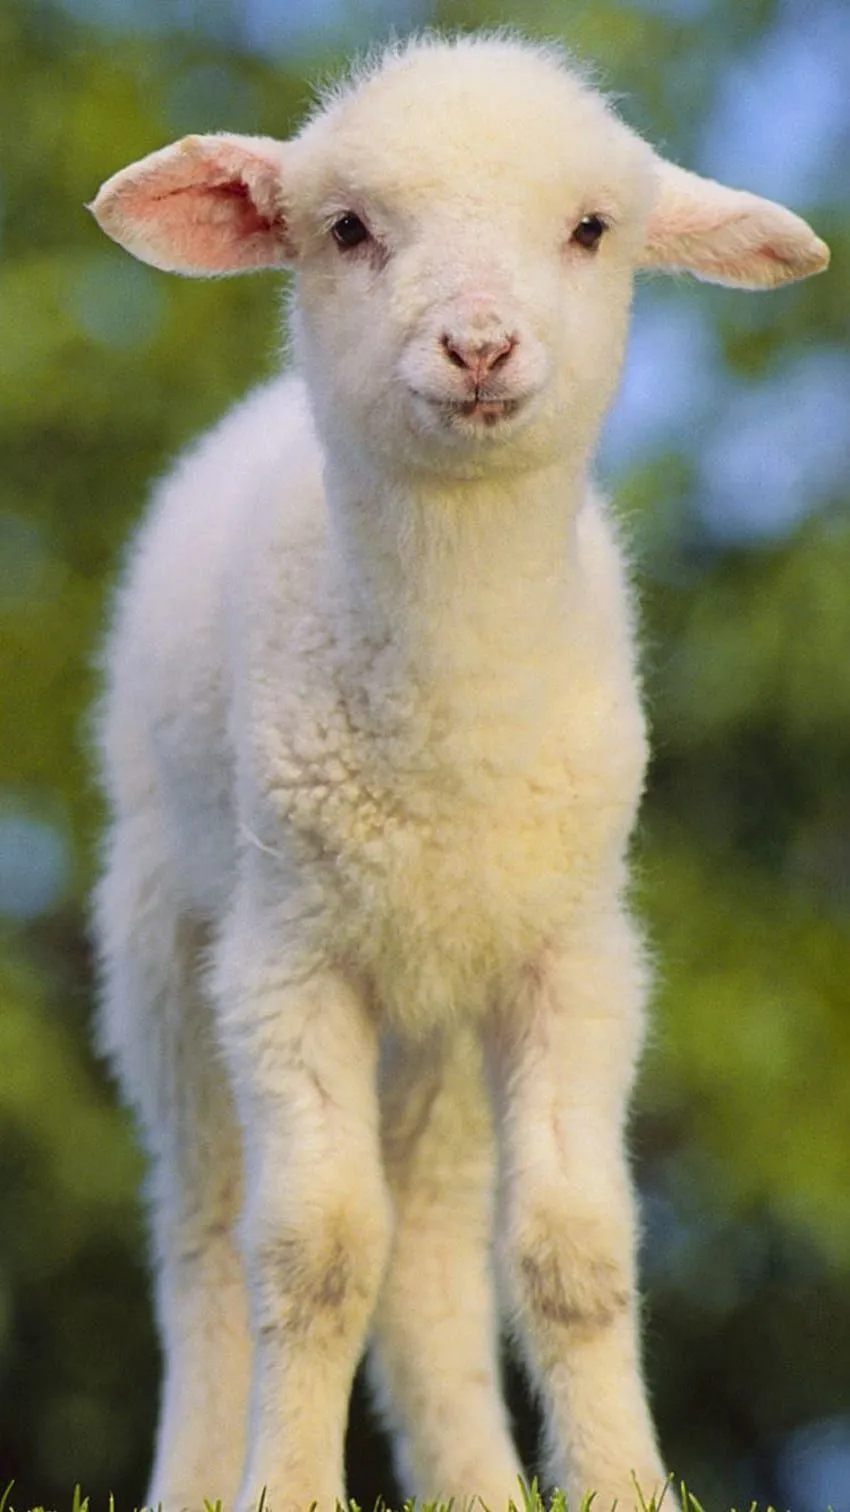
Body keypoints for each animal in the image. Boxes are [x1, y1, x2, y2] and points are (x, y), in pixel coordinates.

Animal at [88, 32, 829, 1512]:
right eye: (347, 229)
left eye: (591, 229)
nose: (479, 344)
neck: (455, 737)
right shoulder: (286, 960)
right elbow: (312, 1251)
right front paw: (285, 1491)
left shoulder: (574, 954)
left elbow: (572, 1249)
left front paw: (624, 1488)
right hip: (162, 944)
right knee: (202, 1237)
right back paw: (198, 1476)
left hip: (437, 1016)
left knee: (430, 1257)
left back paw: (479, 1487)